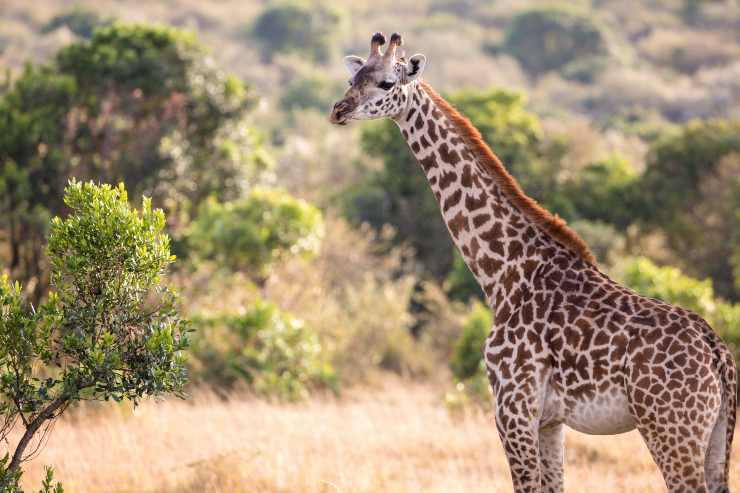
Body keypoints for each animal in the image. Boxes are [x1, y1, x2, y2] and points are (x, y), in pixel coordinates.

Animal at [330, 32, 737, 493]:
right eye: (353, 78)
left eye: (385, 83)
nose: (338, 109)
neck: (506, 273)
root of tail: (719, 355)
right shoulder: (550, 421)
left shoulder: (513, 406)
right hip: (714, 436)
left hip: (671, 429)